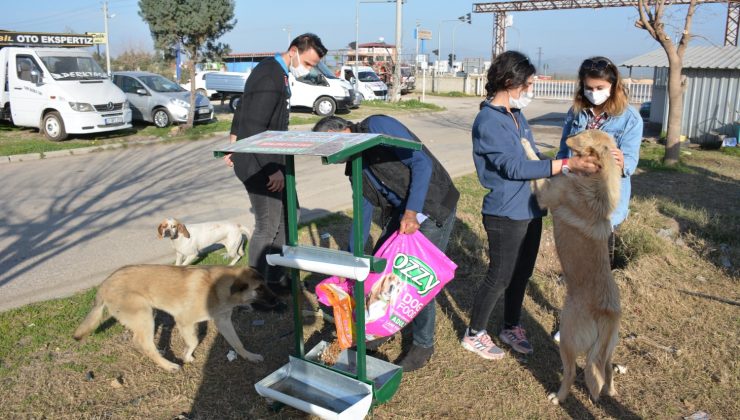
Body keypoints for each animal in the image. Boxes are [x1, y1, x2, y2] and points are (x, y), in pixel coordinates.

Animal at [73, 264, 278, 372]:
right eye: (259, 289)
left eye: (266, 285)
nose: (278, 300)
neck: (218, 288)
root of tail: (104, 283)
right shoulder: (184, 321)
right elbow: (194, 340)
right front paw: (187, 355)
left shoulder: (224, 321)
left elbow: (237, 343)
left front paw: (249, 356)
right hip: (144, 315)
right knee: (143, 343)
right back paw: (168, 365)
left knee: (140, 341)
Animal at [524, 130, 620, 404]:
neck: (596, 181)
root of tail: (606, 313)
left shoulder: (545, 193)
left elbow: (536, 162)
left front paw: (525, 142)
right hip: (607, 351)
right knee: (607, 370)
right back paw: (610, 391)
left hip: (567, 338)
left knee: (571, 372)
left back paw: (558, 397)